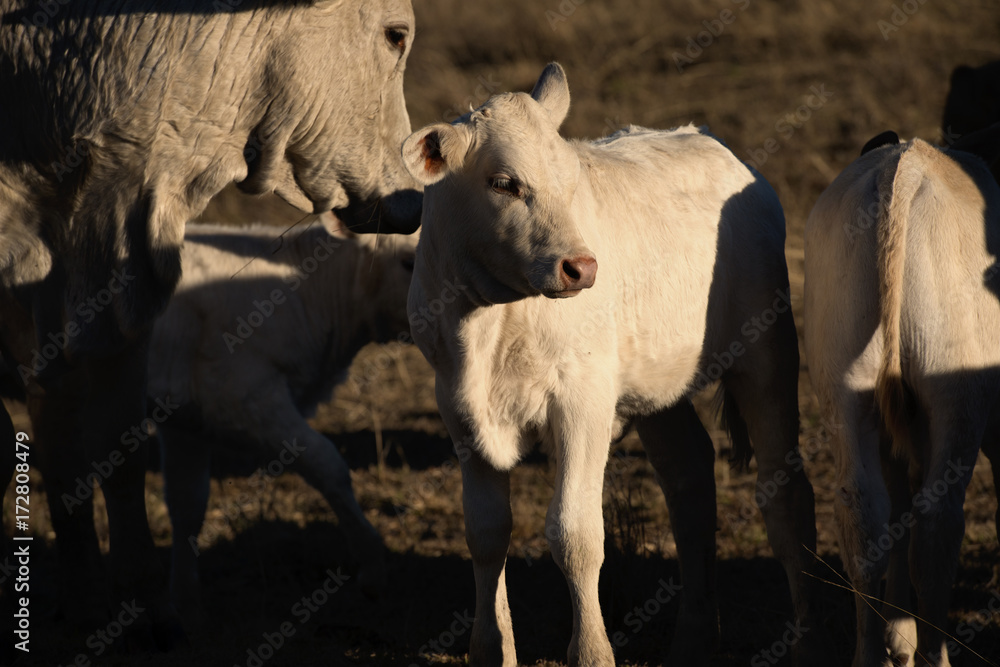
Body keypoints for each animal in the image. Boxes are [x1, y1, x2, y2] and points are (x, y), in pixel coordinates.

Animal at [146, 218, 416, 616]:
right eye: (409, 261)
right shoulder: (239, 396)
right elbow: (327, 463)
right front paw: (372, 568)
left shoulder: (182, 414)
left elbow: (187, 503)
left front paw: (184, 607)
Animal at [400, 64, 820, 667]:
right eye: (503, 183)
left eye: (571, 180)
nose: (580, 267)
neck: (487, 321)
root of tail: (709, 142)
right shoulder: (458, 409)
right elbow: (486, 533)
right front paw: (491, 648)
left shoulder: (583, 400)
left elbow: (574, 535)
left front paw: (591, 651)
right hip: (657, 387)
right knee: (690, 479)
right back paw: (693, 639)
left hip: (767, 355)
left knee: (785, 493)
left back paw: (807, 640)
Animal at [804, 137, 1000, 667]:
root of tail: (905, 164)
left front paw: (898, 633)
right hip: (958, 394)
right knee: (937, 524)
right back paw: (936, 654)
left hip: (847, 382)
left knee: (865, 513)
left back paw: (875, 650)